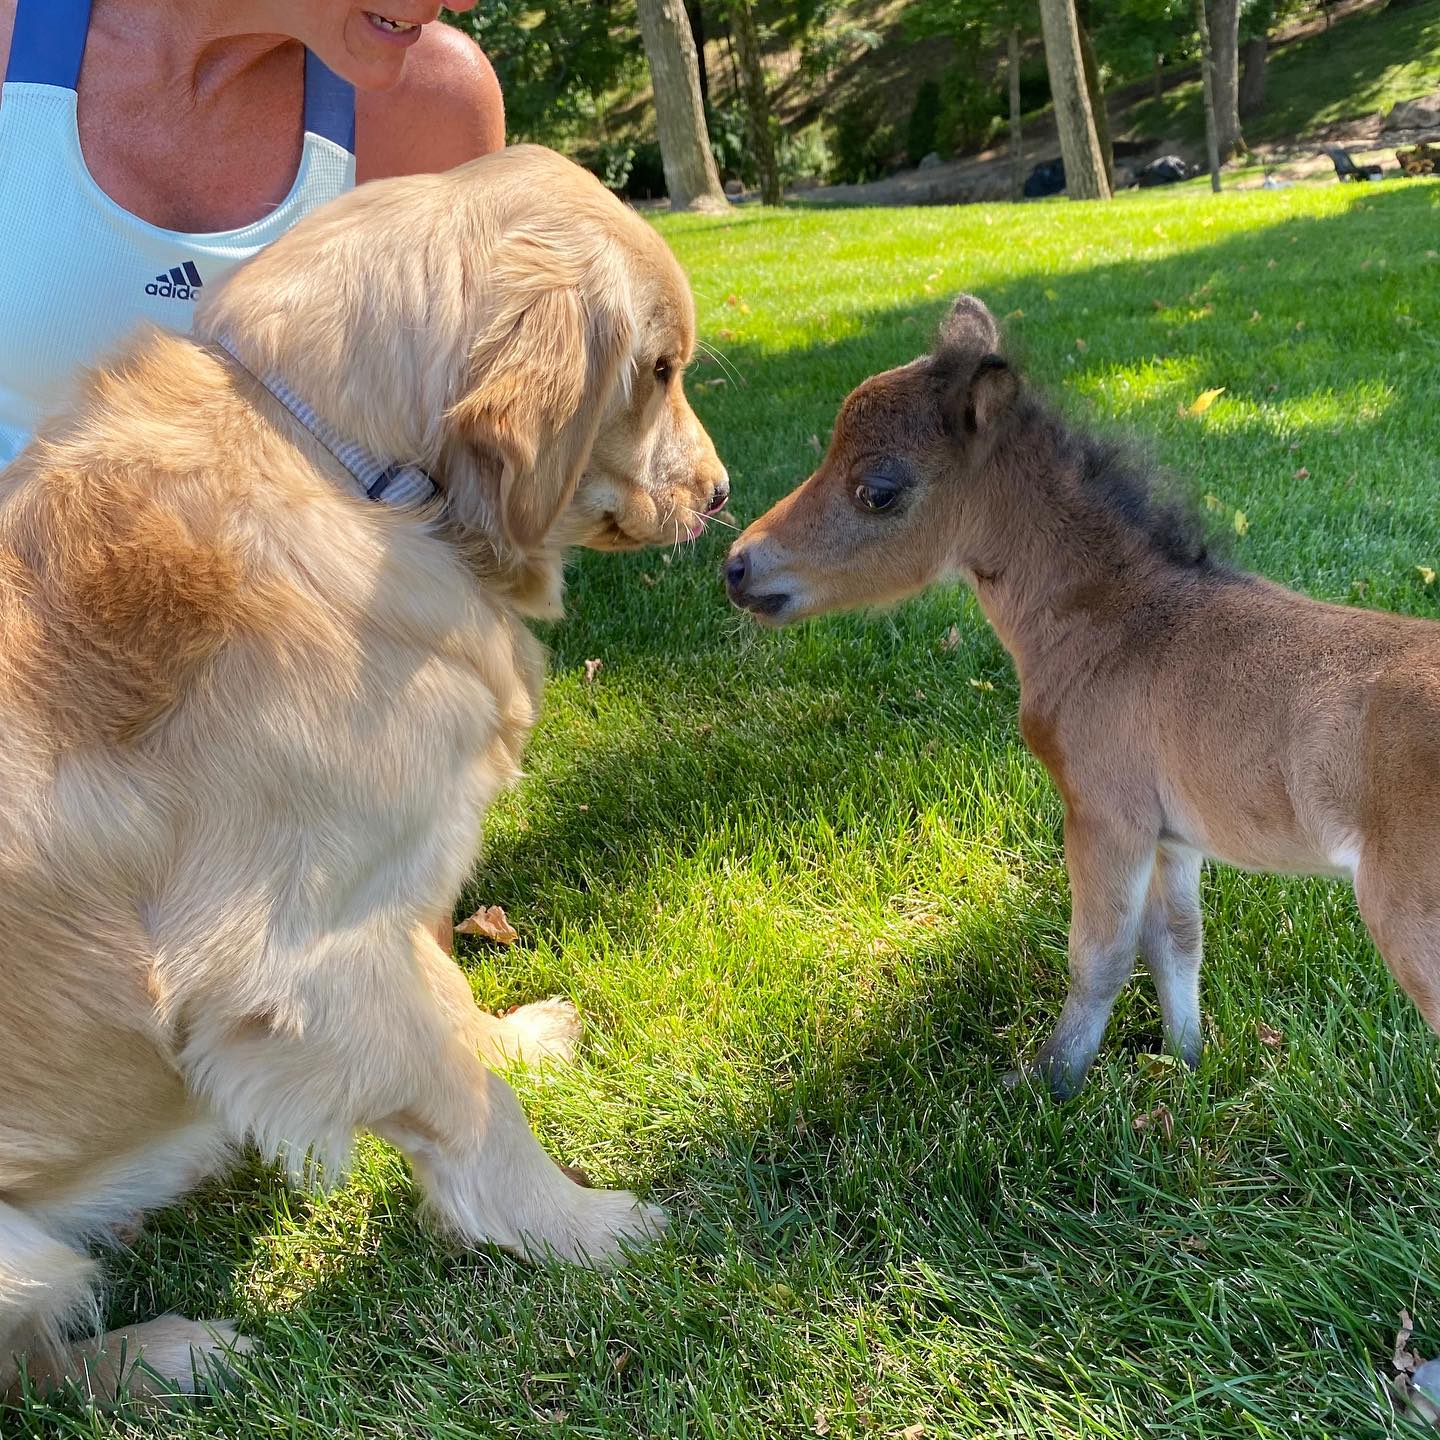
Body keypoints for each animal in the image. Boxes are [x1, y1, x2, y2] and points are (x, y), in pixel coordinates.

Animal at [0, 149, 720, 1405]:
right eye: (662, 369)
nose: (722, 492)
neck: (346, 471)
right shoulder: (305, 954)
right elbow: (477, 1112)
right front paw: (580, 1228)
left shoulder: (388, 899)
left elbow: (452, 1015)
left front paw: (516, 1038)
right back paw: (169, 1352)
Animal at [725, 289, 1440, 1100]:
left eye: (878, 491)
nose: (737, 566)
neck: (1117, 617)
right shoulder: (1171, 834)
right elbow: (1176, 940)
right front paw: (1186, 1066)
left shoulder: (1105, 812)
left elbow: (1099, 956)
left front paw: (1048, 1084)